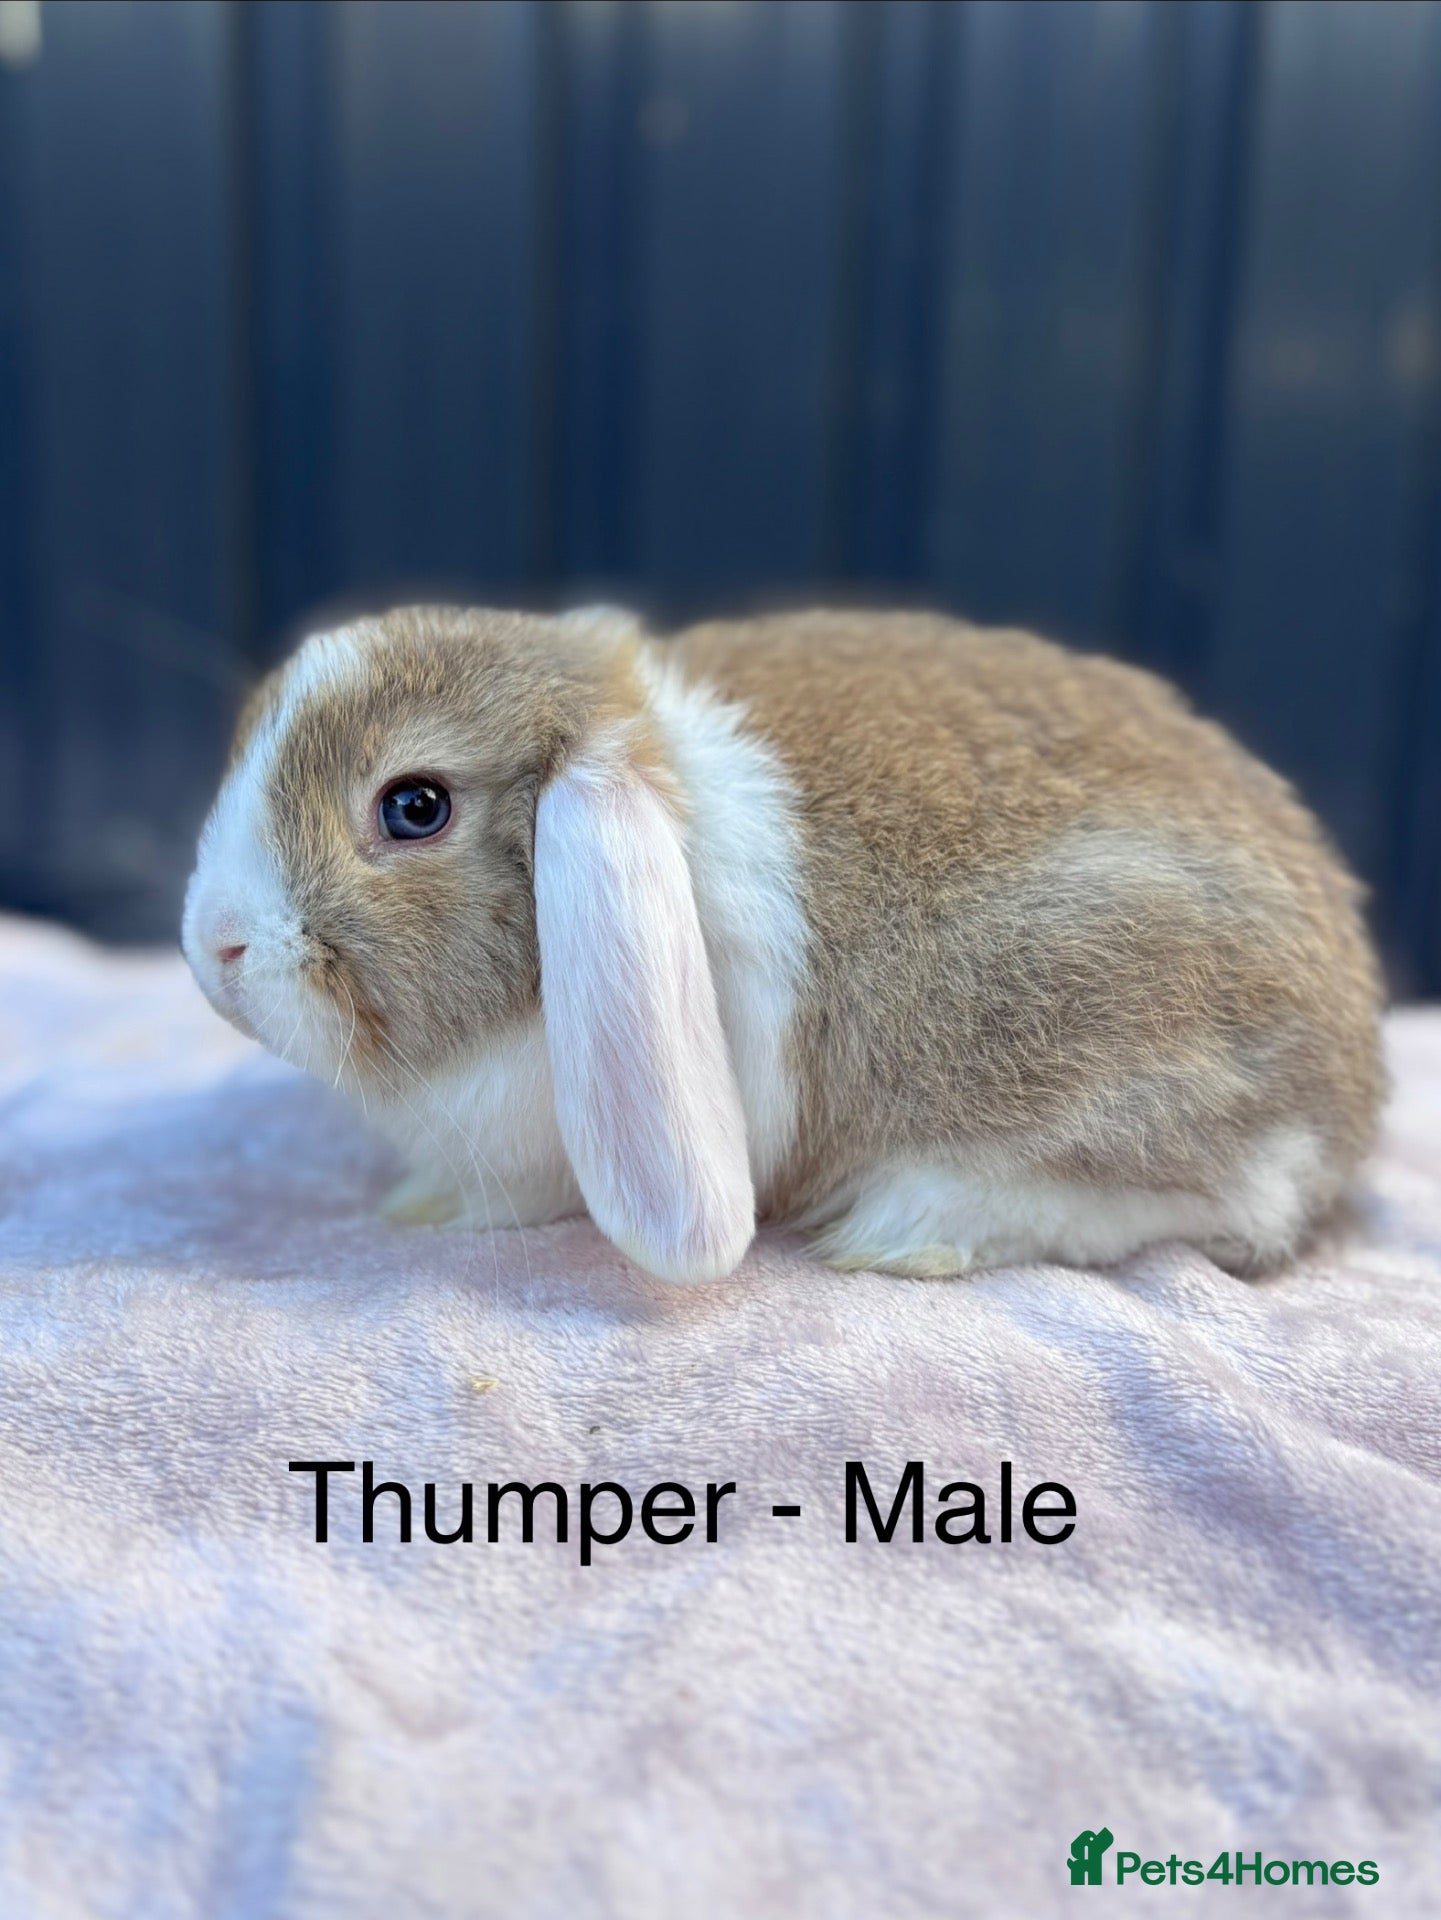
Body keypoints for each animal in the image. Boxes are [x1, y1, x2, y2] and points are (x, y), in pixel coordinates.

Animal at [183, 604, 1384, 1285]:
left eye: (414, 807)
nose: (213, 950)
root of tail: (1350, 1103)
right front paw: (417, 1199)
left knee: (1186, 1204)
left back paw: (903, 1232)